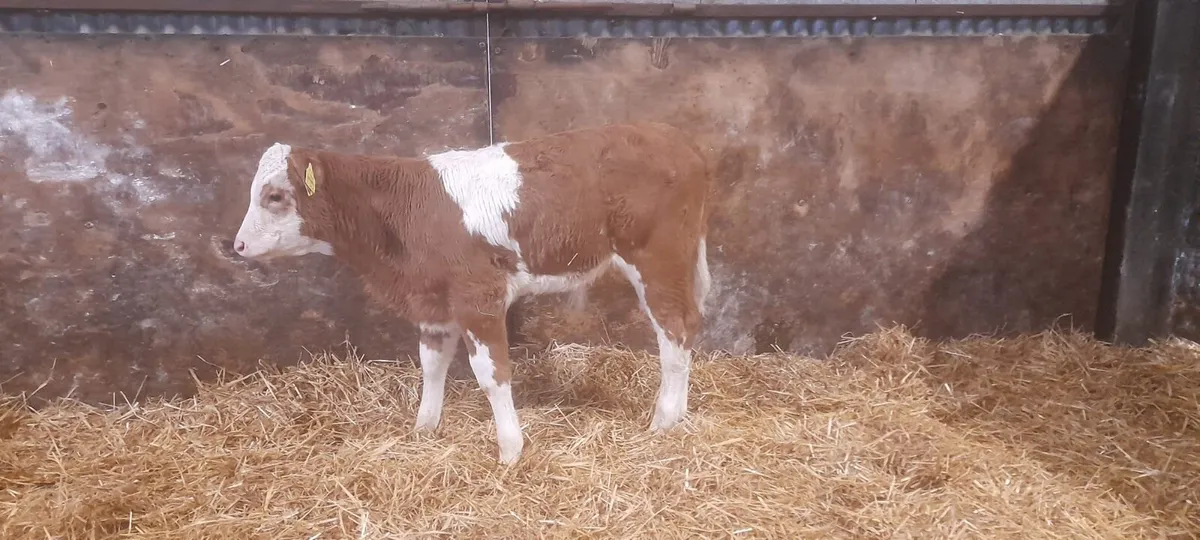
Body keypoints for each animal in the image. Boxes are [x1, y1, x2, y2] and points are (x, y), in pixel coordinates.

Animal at [232, 122, 712, 464]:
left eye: (274, 195)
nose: (237, 246)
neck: (404, 209)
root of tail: (675, 139)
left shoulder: (478, 296)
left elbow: (491, 373)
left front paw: (510, 450)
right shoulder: (432, 302)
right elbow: (431, 365)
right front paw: (424, 429)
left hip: (657, 259)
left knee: (675, 330)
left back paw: (663, 421)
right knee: (688, 327)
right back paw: (680, 415)